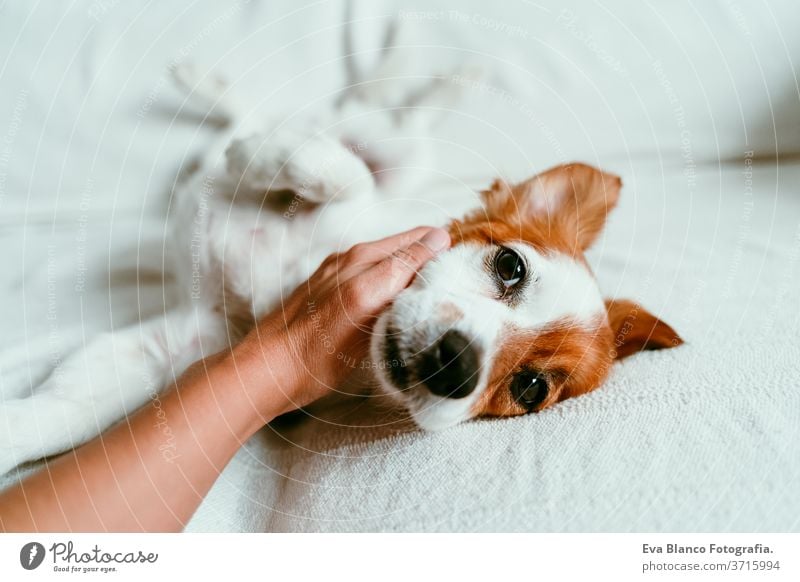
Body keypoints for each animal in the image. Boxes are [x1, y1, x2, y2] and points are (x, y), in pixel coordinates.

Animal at [1, 25, 680, 476]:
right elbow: (339, 176)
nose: (455, 366)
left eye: (531, 388)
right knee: (354, 114)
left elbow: (63, 411)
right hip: (387, 145)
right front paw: (263, 156)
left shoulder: (185, 346)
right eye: (509, 266)